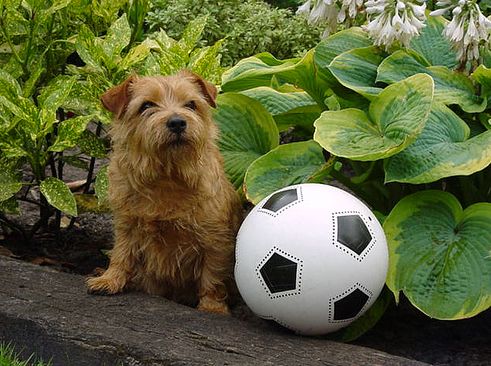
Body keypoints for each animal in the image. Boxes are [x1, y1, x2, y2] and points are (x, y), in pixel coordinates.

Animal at [88, 71, 244, 314]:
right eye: (146, 105)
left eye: (191, 104)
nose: (177, 122)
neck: (168, 176)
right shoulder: (126, 225)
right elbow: (121, 255)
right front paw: (109, 280)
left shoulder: (215, 237)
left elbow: (213, 274)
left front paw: (212, 307)